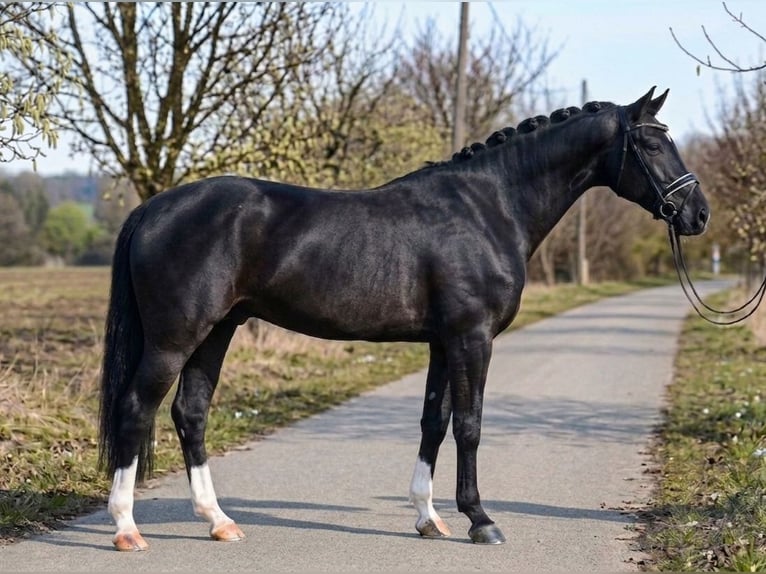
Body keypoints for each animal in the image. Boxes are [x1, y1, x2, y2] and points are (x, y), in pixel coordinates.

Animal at [98, 86, 709, 551]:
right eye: (652, 143)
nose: (698, 214)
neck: (488, 207)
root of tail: (154, 207)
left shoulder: (443, 342)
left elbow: (434, 422)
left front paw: (429, 518)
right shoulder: (472, 339)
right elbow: (469, 425)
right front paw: (481, 521)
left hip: (217, 330)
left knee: (190, 412)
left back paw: (219, 521)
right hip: (176, 336)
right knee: (136, 409)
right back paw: (127, 529)